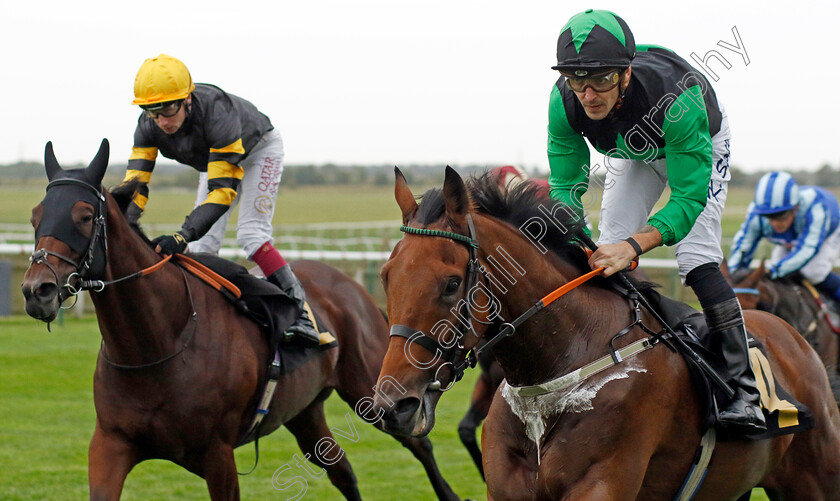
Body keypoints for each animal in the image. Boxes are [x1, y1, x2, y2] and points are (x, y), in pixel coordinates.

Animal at [21, 139, 466, 498]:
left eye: (83, 215)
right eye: (35, 216)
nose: (36, 290)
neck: (157, 346)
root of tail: (350, 286)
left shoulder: (217, 454)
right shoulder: (110, 445)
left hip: (374, 389)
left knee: (418, 443)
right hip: (305, 412)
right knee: (342, 470)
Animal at [372, 166, 840, 498]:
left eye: (452, 284)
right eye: (385, 276)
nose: (393, 406)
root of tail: (793, 338)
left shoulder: (601, 482)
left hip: (815, 478)